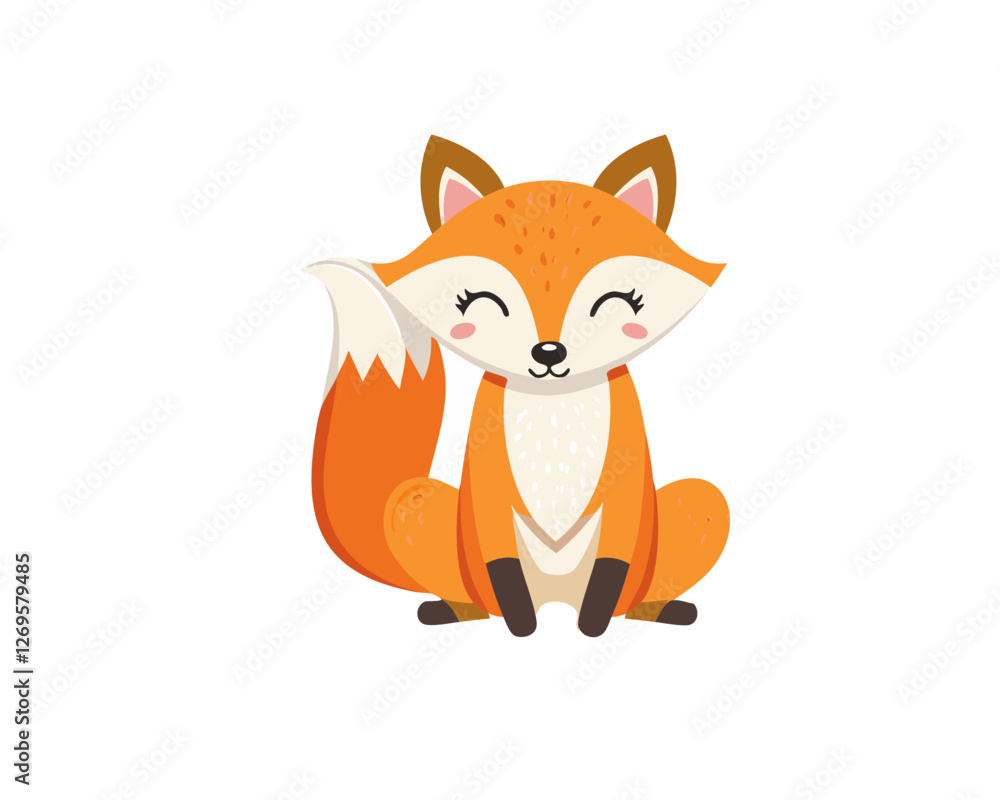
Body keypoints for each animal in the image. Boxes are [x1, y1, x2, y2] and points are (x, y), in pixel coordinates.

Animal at [306, 135, 729, 637]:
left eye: (615, 301)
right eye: (481, 302)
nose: (549, 353)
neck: (554, 410)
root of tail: (557, 601)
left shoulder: (625, 474)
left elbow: (612, 564)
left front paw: (593, 625)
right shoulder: (487, 477)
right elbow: (502, 564)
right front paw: (521, 624)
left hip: (696, 505)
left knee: (638, 590)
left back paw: (658, 610)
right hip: (419, 507)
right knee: (476, 596)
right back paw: (455, 610)